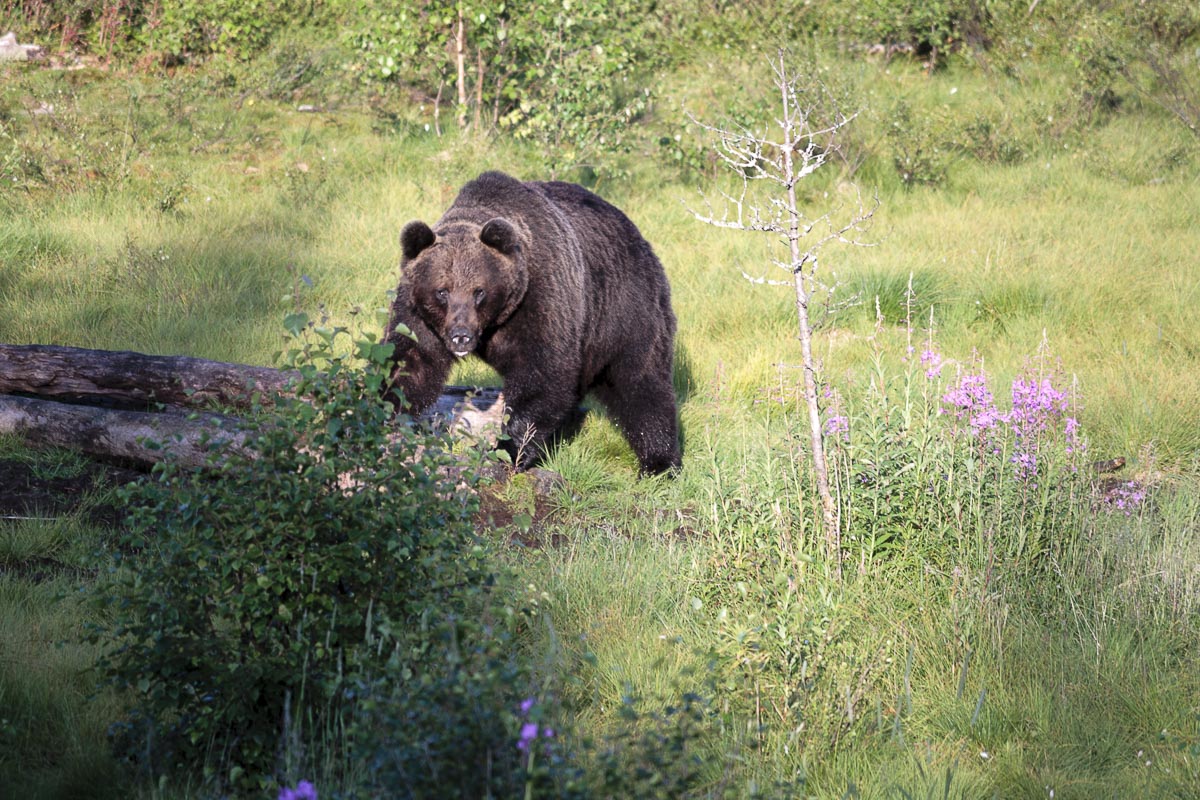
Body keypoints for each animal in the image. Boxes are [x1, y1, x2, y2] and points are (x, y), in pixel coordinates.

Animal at [382, 170, 681, 476]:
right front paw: (383, 410)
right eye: (442, 291)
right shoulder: (419, 315)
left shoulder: (540, 301)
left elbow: (542, 374)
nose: (461, 336)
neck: (495, 322)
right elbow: (411, 363)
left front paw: (508, 449)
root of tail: (636, 233)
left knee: (642, 383)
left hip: (625, 311)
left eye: (479, 291)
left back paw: (659, 462)